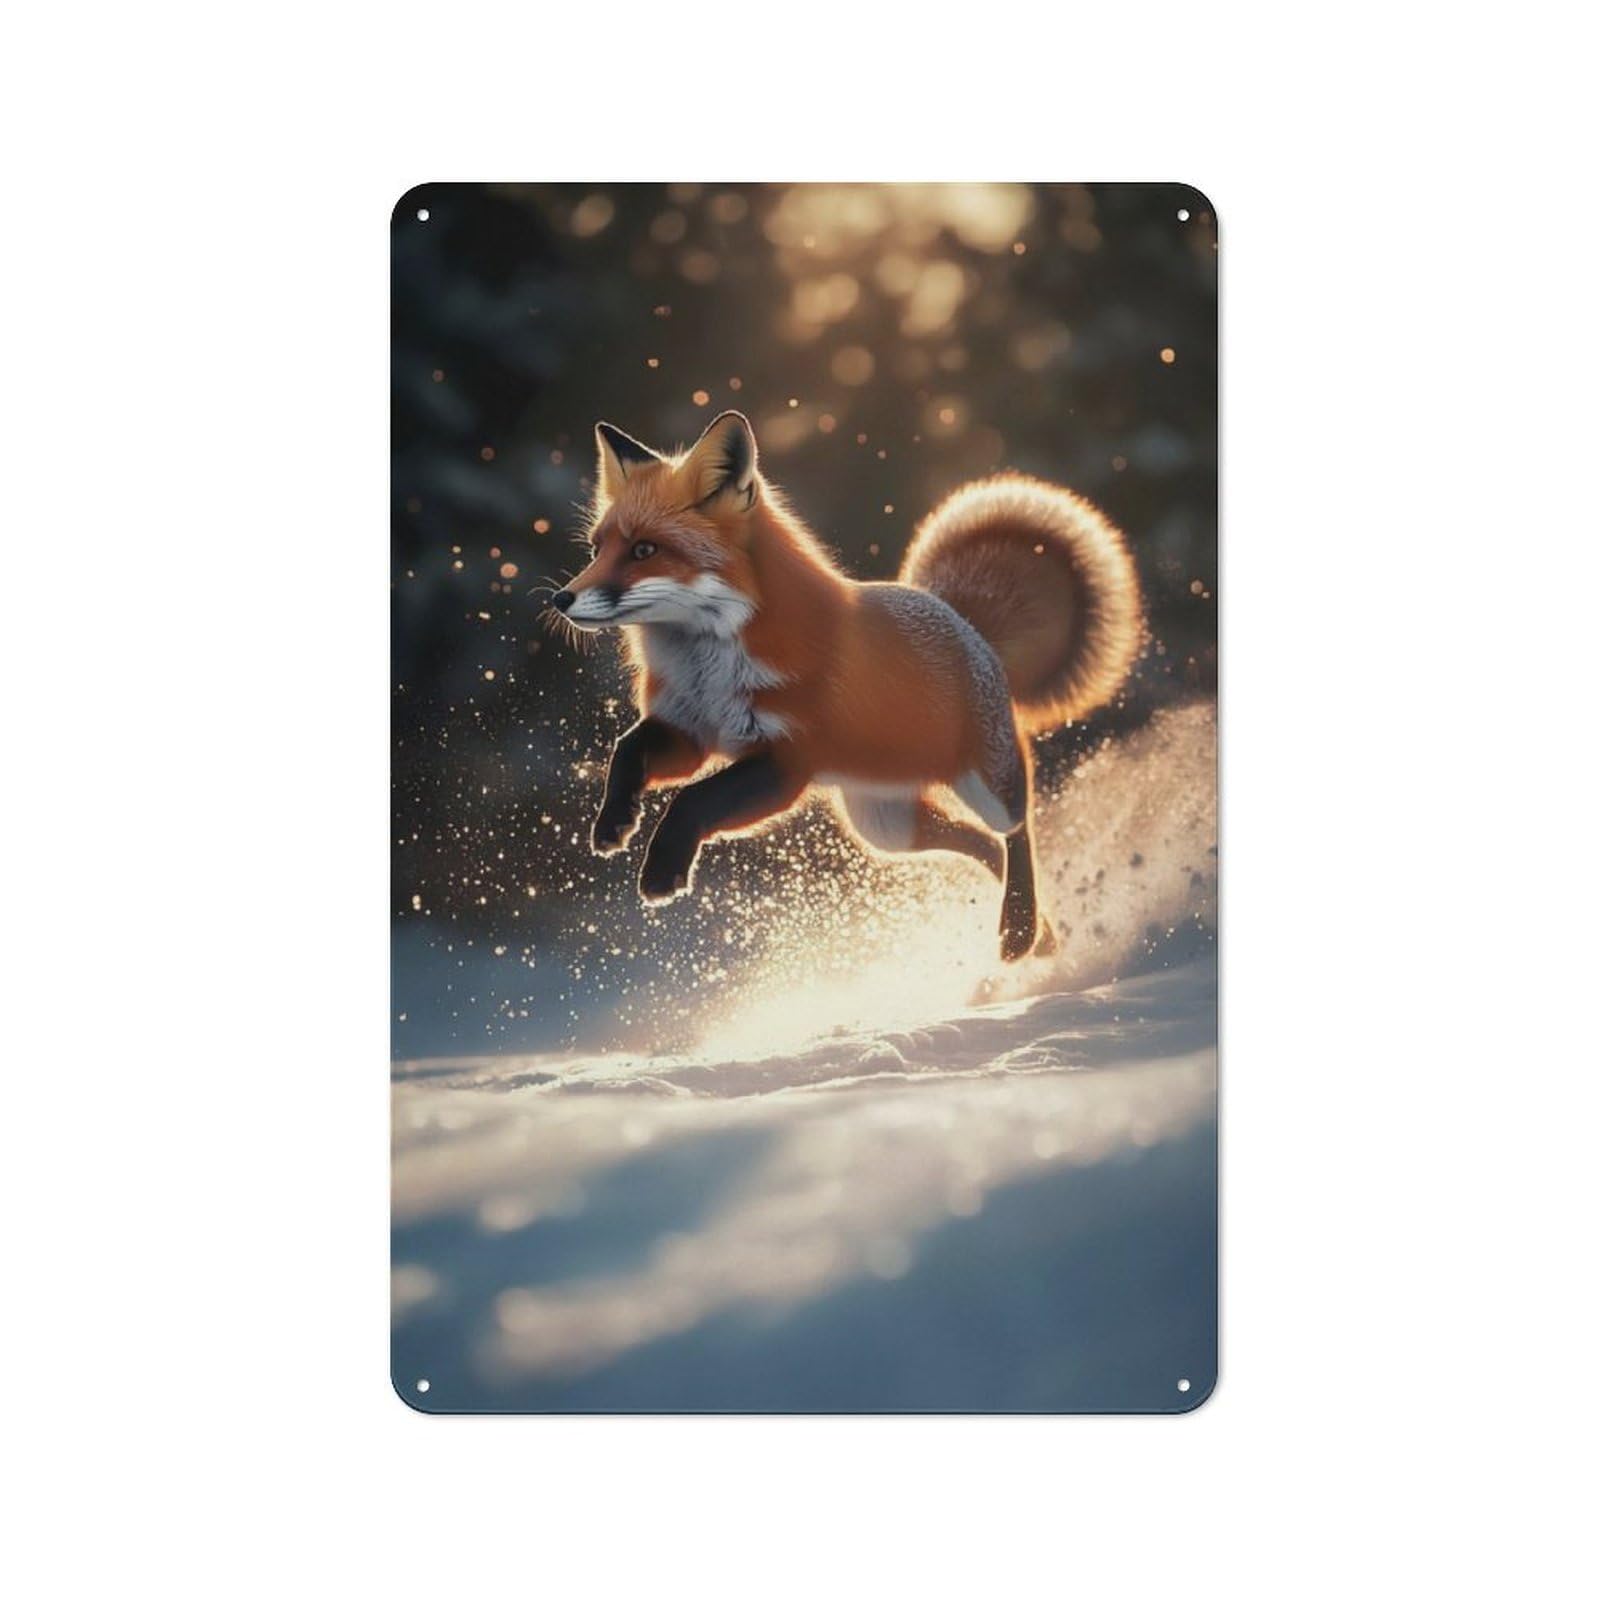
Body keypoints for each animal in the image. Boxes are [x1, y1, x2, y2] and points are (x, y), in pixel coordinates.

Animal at [548, 409, 1142, 961]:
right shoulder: (691, 731)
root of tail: (955, 613)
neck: (708, 671)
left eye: (644, 551)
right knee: (978, 844)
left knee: (1017, 829)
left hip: (983, 783)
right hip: (884, 824)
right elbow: (628, 750)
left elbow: (693, 800)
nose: (561, 599)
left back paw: (1018, 930)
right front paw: (615, 822)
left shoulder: (789, 760)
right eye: (597, 549)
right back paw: (1038, 932)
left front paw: (662, 872)